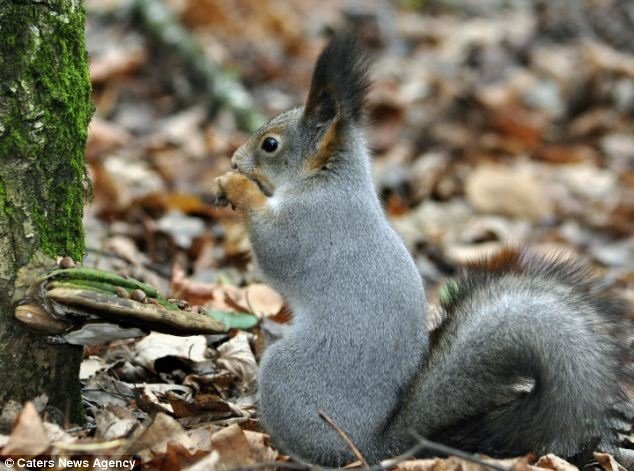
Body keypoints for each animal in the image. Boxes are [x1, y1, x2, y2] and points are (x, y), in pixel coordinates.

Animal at [212, 34, 632, 468]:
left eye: (270, 144)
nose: (234, 159)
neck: (327, 181)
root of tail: (373, 443)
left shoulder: (313, 225)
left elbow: (275, 252)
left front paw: (237, 186)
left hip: (289, 378)